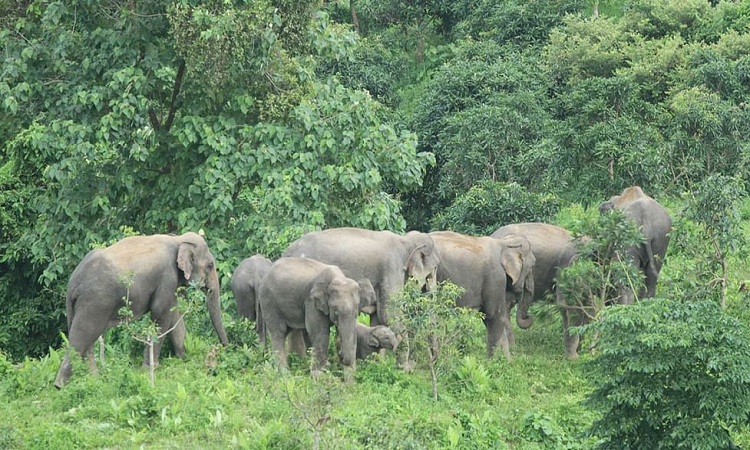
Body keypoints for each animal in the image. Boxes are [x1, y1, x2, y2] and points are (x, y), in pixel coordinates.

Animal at [54, 232, 228, 386]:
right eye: (210, 265)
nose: (224, 349)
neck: (178, 239)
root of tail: (73, 282)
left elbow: (175, 315)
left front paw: (183, 358)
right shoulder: (167, 277)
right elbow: (161, 314)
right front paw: (150, 369)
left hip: (77, 306)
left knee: (87, 341)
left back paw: (94, 380)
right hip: (95, 302)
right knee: (81, 337)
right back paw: (61, 386)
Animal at [284, 227, 444, 326]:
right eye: (435, 268)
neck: (405, 240)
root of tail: (287, 252)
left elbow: (377, 319)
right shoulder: (392, 269)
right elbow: (389, 317)